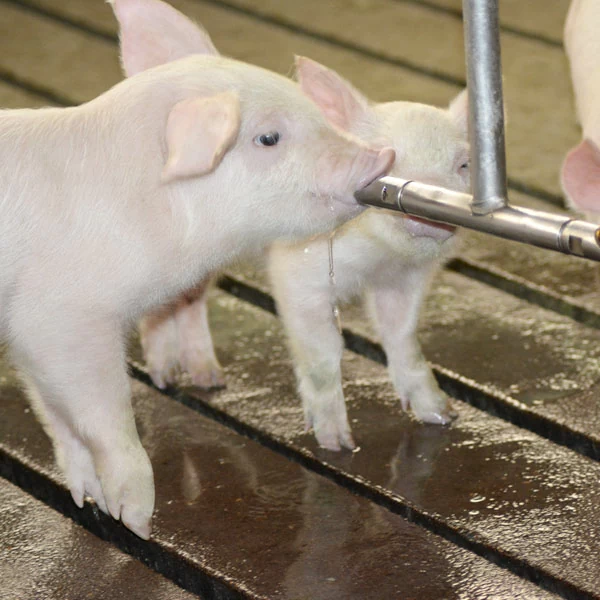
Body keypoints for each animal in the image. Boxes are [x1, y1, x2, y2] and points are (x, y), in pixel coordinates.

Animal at [0, 0, 394, 536]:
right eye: (268, 137)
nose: (383, 156)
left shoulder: (27, 334)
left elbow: (59, 419)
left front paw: (88, 500)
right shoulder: (60, 318)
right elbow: (104, 412)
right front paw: (137, 521)